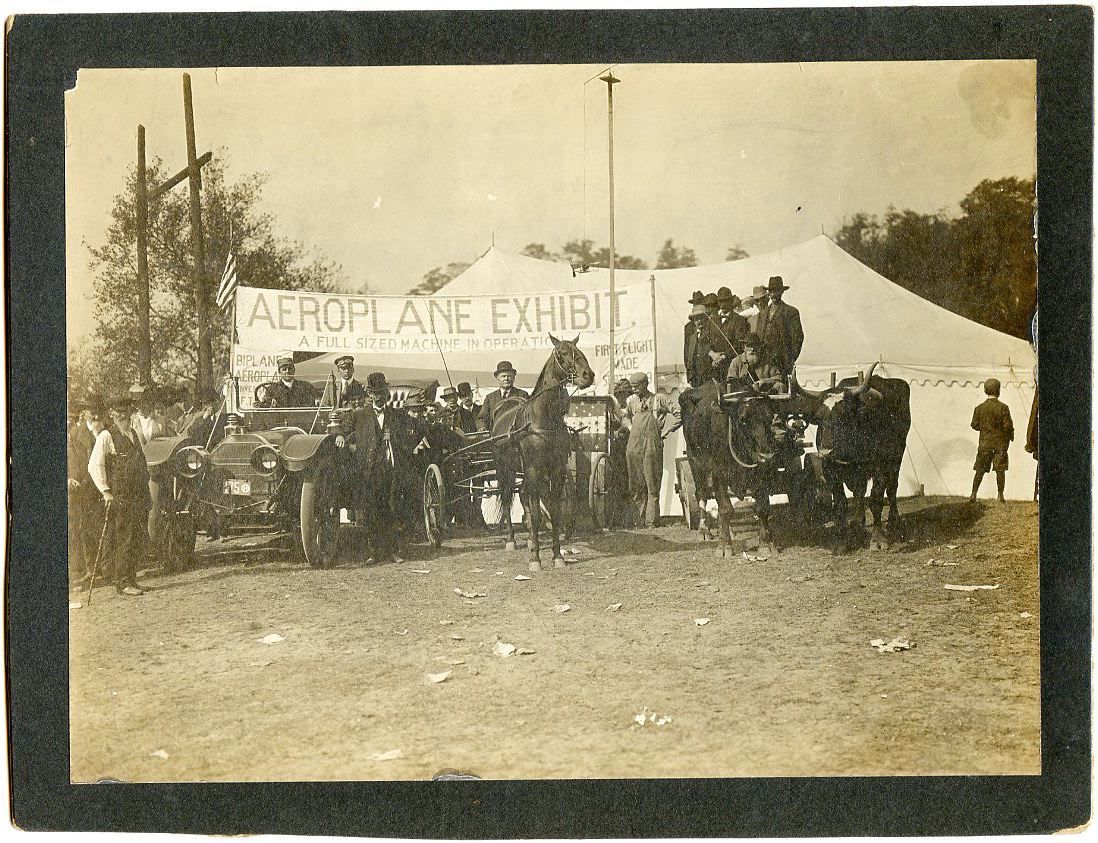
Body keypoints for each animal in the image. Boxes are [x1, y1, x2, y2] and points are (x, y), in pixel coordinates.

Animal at [491, 333, 597, 570]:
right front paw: (535, 559)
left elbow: (555, 513)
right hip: (506, 469)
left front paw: (557, 556)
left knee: (522, 494)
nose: (588, 375)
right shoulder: (533, 469)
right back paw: (511, 540)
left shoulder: (556, 469)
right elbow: (538, 514)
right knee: (507, 498)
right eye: (563, 352)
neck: (544, 419)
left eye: (580, 351)